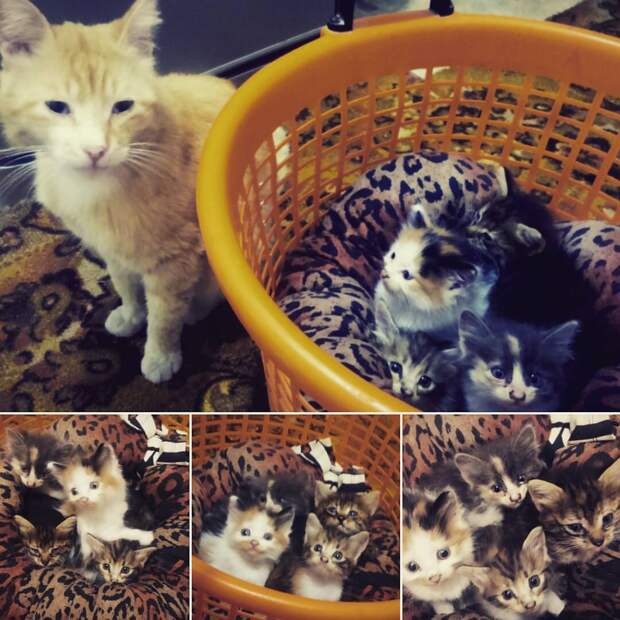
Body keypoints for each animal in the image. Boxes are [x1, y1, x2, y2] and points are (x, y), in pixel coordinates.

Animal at [0, 0, 235, 383]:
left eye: (123, 107)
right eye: (57, 107)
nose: (96, 149)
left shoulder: (176, 259)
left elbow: (165, 316)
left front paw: (160, 354)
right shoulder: (111, 246)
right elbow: (123, 281)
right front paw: (131, 313)